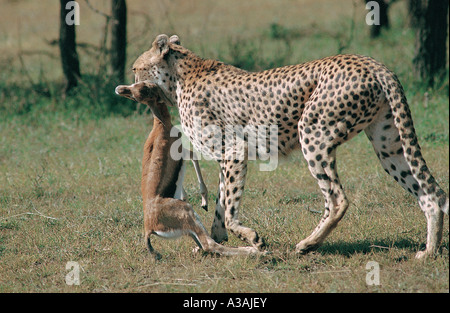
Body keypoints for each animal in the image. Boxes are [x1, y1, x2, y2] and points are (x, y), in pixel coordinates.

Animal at [129, 34, 446, 258]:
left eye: (135, 68)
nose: (129, 86)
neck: (181, 76)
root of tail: (372, 62)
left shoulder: (234, 152)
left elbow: (228, 210)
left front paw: (251, 239)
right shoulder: (227, 158)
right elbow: (221, 206)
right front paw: (214, 243)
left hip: (313, 133)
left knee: (337, 199)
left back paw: (308, 244)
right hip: (389, 145)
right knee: (430, 193)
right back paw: (429, 252)